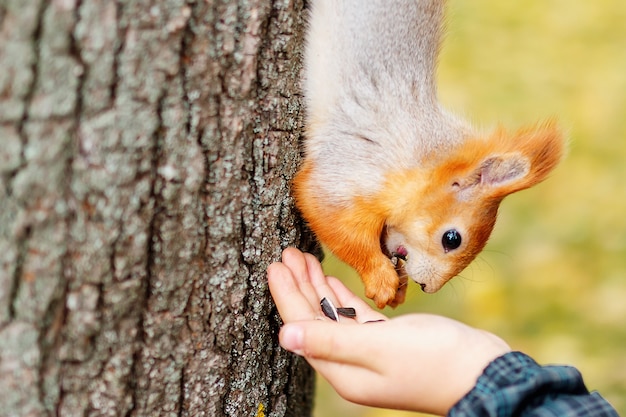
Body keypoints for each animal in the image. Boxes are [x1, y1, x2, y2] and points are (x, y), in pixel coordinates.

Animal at [290, 0, 564, 306]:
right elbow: (327, 212)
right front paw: (380, 278)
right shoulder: (354, 168)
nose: (427, 287)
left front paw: (399, 285)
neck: (423, 163)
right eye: (452, 239)